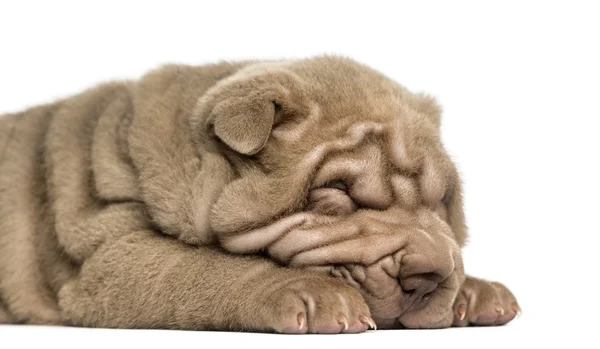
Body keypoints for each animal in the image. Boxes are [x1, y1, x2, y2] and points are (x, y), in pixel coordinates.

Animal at [0, 56, 516, 332]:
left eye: (442, 202)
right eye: (337, 193)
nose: (430, 276)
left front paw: (479, 291)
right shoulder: (111, 255)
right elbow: (204, 268)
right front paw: (313, 295)